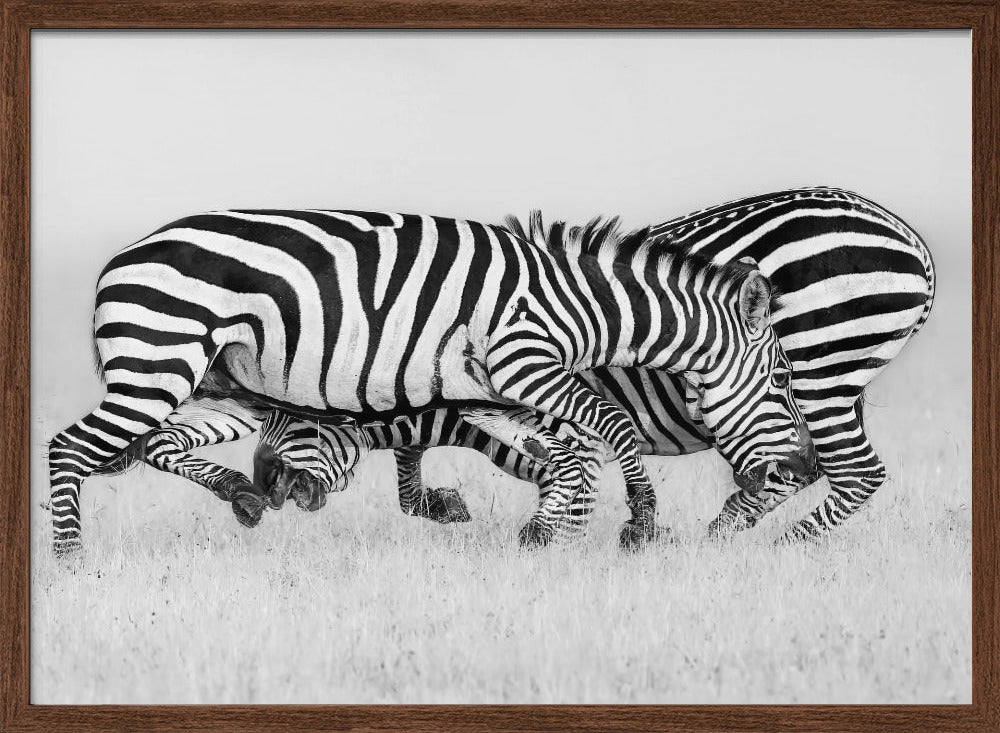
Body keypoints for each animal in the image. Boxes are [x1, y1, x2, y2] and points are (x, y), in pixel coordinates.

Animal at [49, 208, 812, 554]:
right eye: (782, 380)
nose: (805, 467)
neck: (583, 305)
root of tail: (120, 257)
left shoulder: (489, 392)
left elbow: (560, 452)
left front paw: (551, 531)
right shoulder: (525, 360)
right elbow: (610, 427)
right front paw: (640, 521)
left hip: (216, 381)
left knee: (158, 444)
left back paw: (240, 491)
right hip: (159, 364)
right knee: (69, 448)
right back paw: (72, 561)